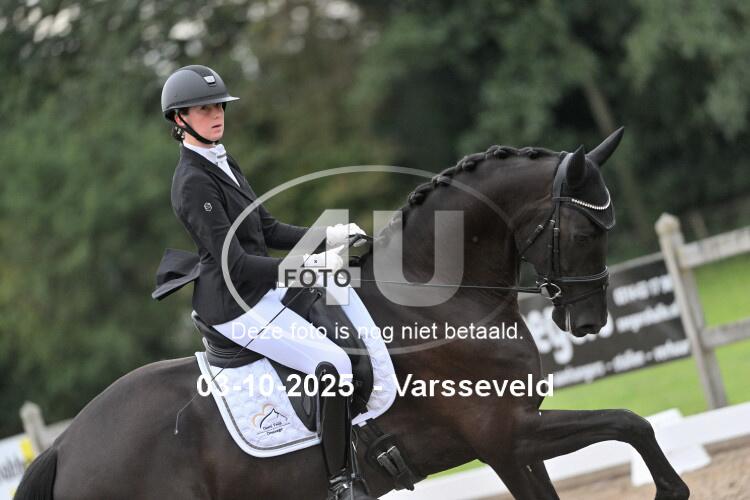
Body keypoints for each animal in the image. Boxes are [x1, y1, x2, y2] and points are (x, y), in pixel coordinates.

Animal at [15, 128, 690, 499]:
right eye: (586, 231)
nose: (588, 323)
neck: (442, 298)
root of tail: (66, 446)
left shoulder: (516, 440)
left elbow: (630, 424)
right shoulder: (506, 436)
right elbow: (631, 421)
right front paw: (670, 489)